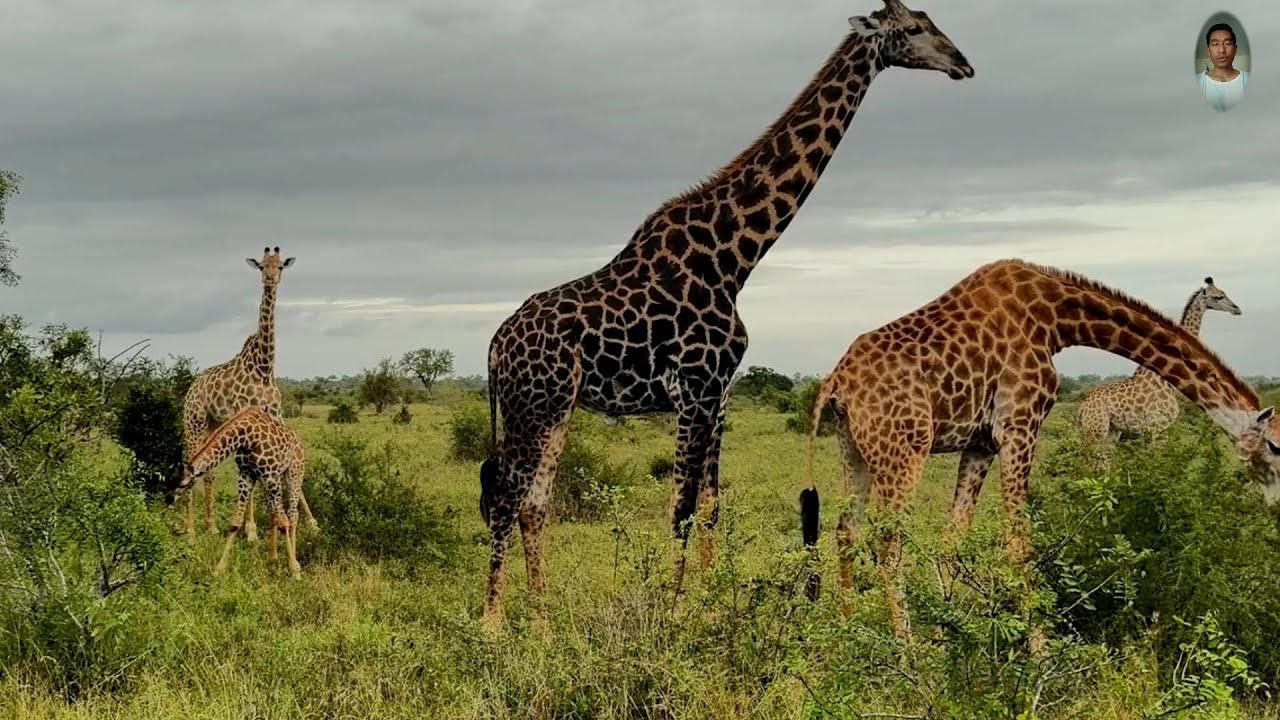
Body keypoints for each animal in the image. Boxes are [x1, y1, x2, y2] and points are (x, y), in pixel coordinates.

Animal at [166, 405, 308, 577]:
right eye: (170, 479)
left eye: (182, 484)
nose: (167, 499)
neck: (246, 435)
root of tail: (299, 441)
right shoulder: (246, 475)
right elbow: (235, 522)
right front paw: (219, 568)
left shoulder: (271, 475)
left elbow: (284, 522)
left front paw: (294, 570)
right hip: (270, 480)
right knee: (273, 513)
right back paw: (272, 558)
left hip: (293, 473)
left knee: (292, 515)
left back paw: (294, 562)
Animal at [180, 246, 317, 540]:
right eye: (262, 266)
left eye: (281, 266)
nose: (270, 280)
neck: (264, 367)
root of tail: (193, 386)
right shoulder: (247, 416)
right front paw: (252, 530)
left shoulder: (275, 415)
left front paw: (313, 523)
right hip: (194, 421)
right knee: (192, 463)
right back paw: (191, 528)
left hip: (215, 423)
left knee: (209, 471)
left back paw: (210, 525)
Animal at [479, 0, 975, 626]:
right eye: (913, 29)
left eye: (932, 22)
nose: (963, 64)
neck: (735, 258)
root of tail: (495, 344)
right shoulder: (693, 389)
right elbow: (681, 508)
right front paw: (671, 616)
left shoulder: (718, 394)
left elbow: (710, 505)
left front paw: (711, 606)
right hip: (531, 407)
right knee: (505, 498)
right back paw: (493, 625)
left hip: (554, 409)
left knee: (534, 504)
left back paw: (543, 624)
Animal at [1077, 277, 1241, 460]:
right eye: (1218, 297)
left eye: (1223, 293)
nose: (1237, 309)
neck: (1167, 381)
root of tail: (1082, 407)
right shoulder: (1154, 428)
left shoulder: (1161, 429)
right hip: (1096, 430)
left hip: (1111, 432)